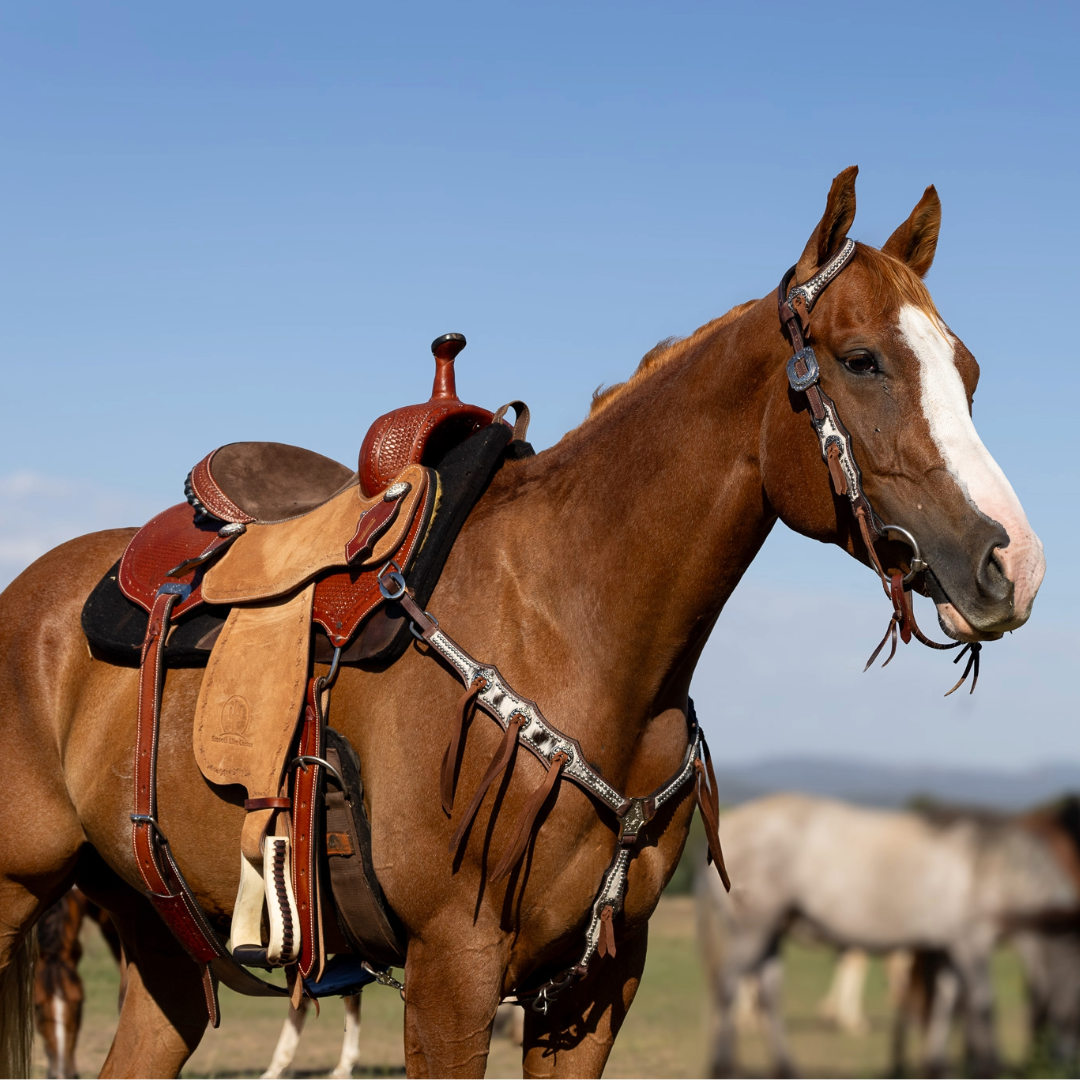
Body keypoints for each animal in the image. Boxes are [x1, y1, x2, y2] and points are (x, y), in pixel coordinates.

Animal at [696, 795, 1077, 1077]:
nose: (1066, 1062)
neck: (988, 866)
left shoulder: (950, 948)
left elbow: (946, 1002)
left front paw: (937, 1066)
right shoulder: (971, 945)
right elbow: (983, 1005)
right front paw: (991, 1068)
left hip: (771, 933)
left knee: (768, 995)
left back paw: (787, 1069)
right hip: (752, 931)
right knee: (729, 986)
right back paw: (724, 1067)